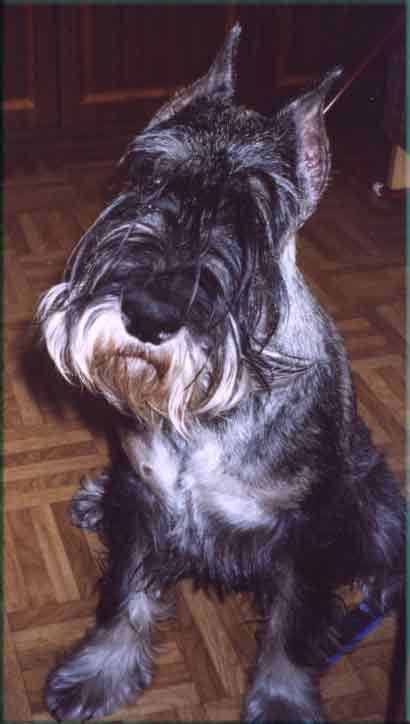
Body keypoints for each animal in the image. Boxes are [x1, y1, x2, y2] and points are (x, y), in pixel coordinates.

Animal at [38, 24, 404, 722]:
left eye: (252, 217)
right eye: (148, 177)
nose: (148, 315)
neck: (206, 420)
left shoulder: (306, 535)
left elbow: (292, 626)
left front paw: (283, 700)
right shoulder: (145, 500)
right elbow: (123, 597)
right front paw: (99, 672)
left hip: (368, 487)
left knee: (382, 535)